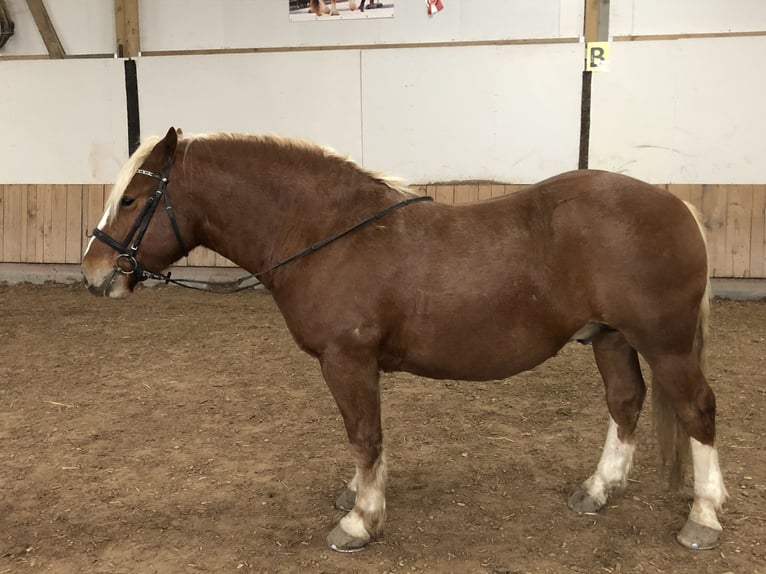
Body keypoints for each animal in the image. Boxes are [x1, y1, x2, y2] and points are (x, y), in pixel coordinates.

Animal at [81, 127, 728, 553]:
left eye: (133, 199)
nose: (93, 273)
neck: (327, 234)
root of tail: (674, 203)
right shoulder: (359, 365)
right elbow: (369, 437)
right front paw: (360, 496)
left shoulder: (346, 360)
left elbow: (363, 435)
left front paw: (361, 521)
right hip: (610, 338)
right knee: (625, 402)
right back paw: (599, 489)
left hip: (664, 345)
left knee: (697, 411)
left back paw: (703, 515)